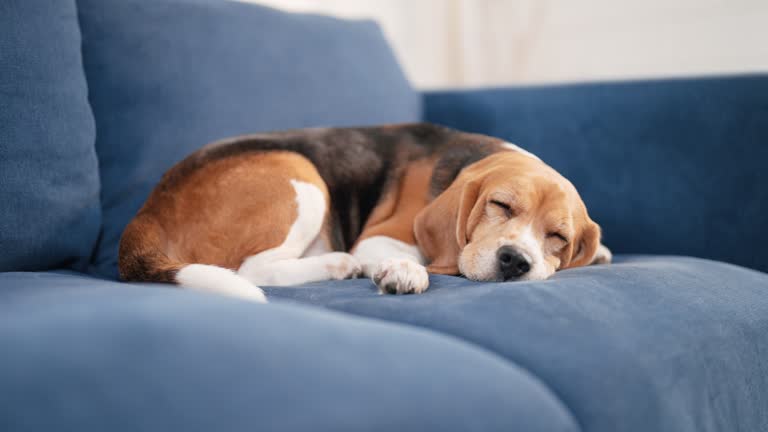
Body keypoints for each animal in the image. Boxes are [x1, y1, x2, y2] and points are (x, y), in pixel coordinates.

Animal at [118, 123, 612, 302]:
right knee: (253, 269)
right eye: (500, 205)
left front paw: (602, 252)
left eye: (558, 238)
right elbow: (402, 258)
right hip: (302, 175)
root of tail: (149, 209)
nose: (515, 261)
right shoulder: (381, 235)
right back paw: (338, 263)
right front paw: (406, 271)